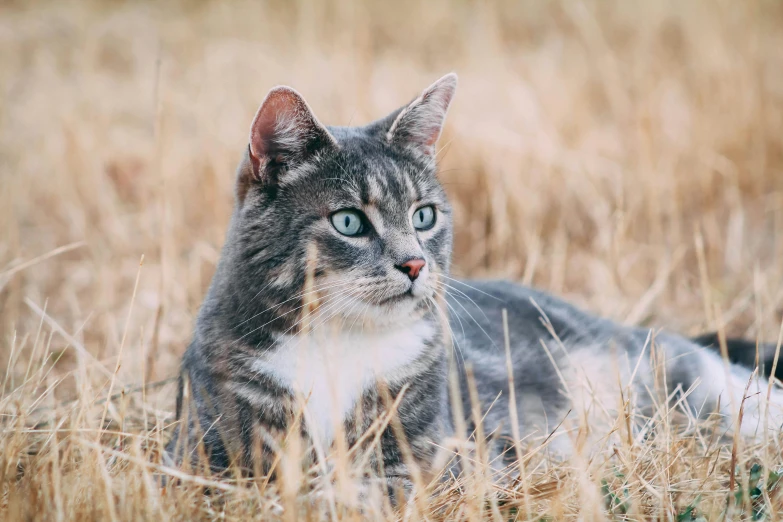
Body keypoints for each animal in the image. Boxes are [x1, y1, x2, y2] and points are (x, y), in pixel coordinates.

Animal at [165, 72, 783, 492]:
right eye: (349, 222)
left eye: (424, 216)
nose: (415, 264)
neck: (337, 342)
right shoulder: (204, 452)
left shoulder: (448, 457)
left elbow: (384, 488)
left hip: (688, 387)